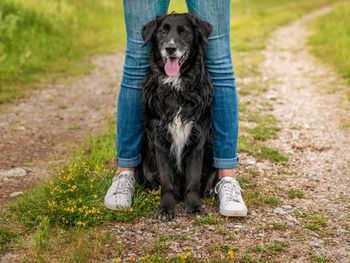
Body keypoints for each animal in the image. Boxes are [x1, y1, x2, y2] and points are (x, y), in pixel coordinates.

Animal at [137, 13, 216, 222]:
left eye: (184, 32)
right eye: (162, 31)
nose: (170, 48)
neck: (176, 85)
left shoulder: (198, 137)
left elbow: (193, 180)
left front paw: (195, 207)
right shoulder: (159, 139)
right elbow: (166, 181)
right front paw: (165, 208)